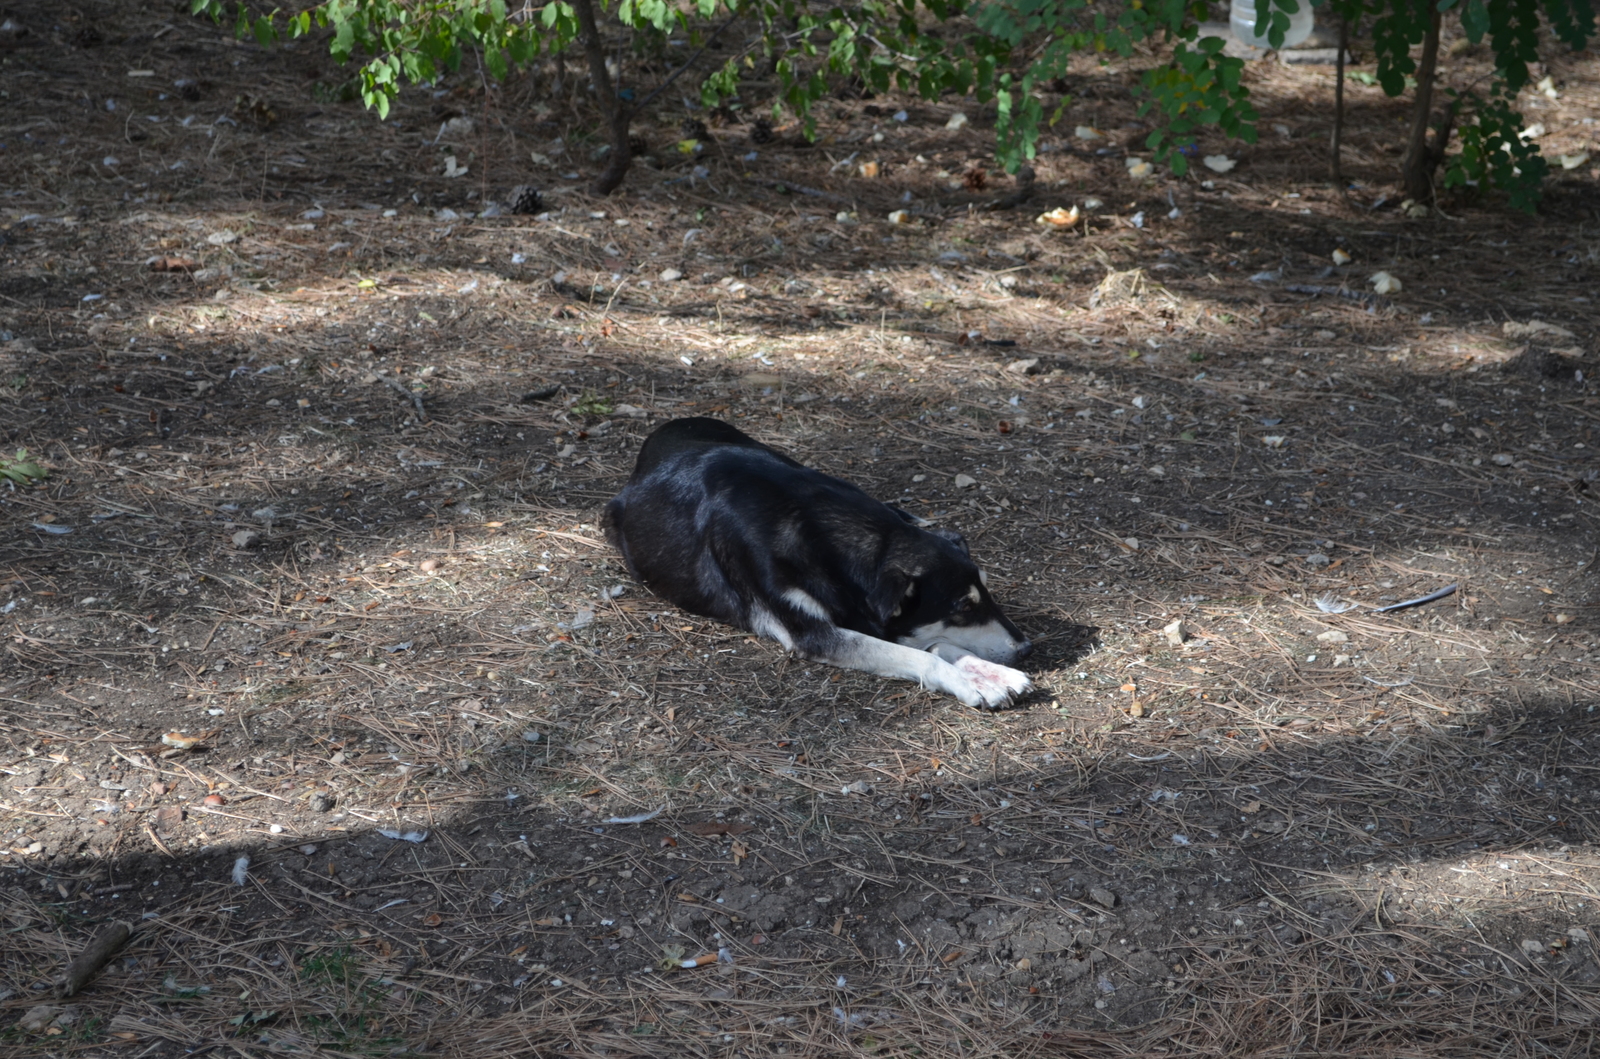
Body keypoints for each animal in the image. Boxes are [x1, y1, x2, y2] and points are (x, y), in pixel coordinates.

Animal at [601, 419, 1036, 710]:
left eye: (987, 593)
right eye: (962, 607)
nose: (1027, 648)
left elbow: (939, 643)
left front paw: (992, 673)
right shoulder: (813, 633)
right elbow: (924, 654)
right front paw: (971, 683)